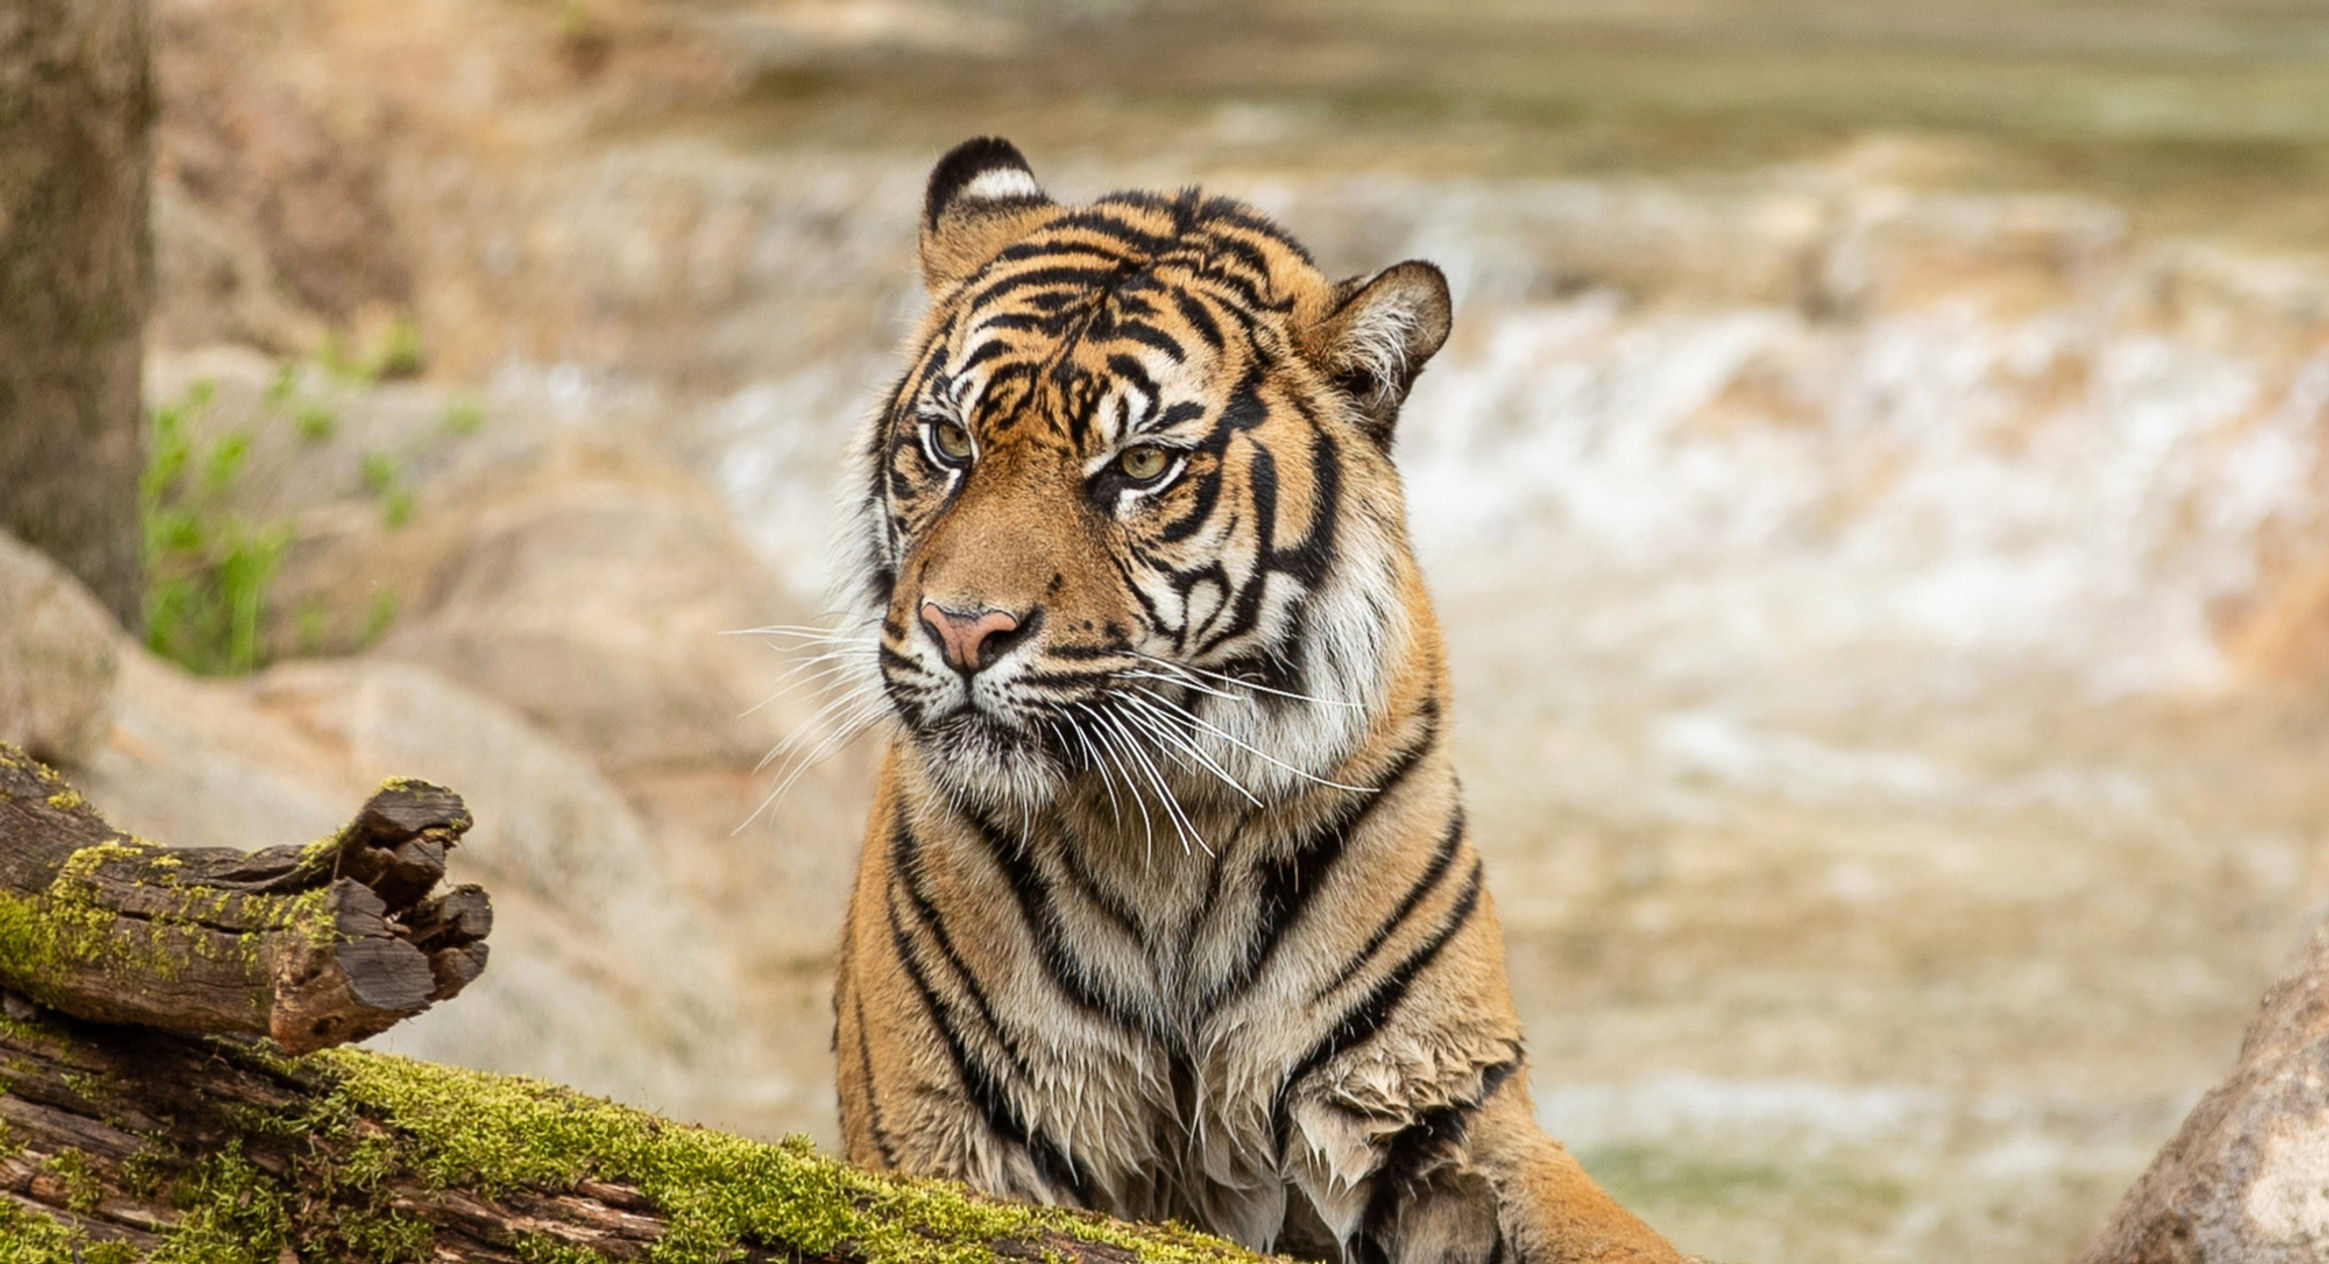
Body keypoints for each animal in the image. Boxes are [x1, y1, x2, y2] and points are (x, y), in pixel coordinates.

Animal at [830, 137, 1684, 1264]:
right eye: (948, 443)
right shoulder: (945, 1146)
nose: (964, 629)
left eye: (1141, 464)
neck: (1164, 836)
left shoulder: (1436, 1106)